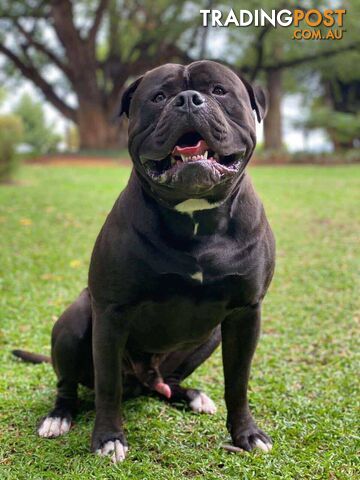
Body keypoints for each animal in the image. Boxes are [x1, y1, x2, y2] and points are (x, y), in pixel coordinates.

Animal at [12, 60, 274, 462]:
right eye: (159, 97)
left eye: (218, 90)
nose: (188, 99)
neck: (194, 216)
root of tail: (144, 378)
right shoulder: (111, 312)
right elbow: (107, 386)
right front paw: (108, 438)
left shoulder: (246, 314)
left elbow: (238, 382)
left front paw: (246, 434)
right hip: (75, 321)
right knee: (68, 384)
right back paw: (58, 417)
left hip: (210, 335)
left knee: (168, 382)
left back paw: (191, 396)